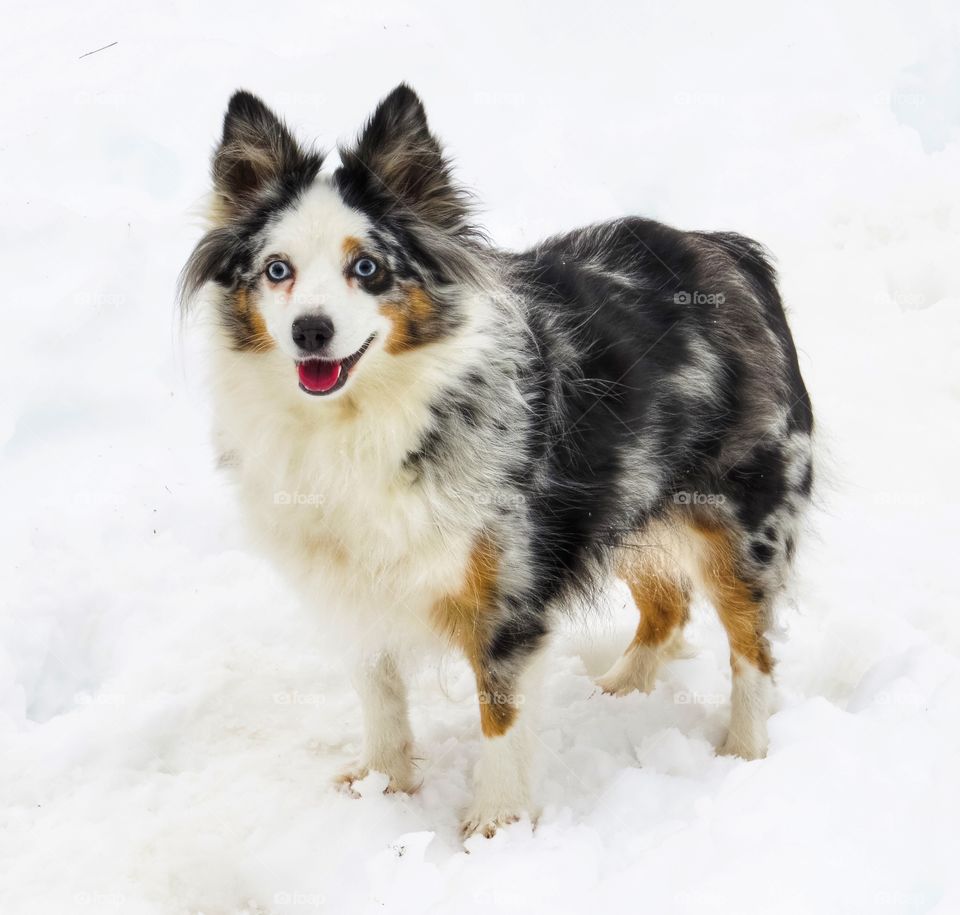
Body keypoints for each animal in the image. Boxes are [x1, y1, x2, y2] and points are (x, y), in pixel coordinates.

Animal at [178, 84, 808, 836]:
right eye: (278, 271)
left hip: (743, 520)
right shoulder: (353, 581)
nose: (311, 331)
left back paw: (744, 751)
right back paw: (621, 689)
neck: (364, 418)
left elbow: (501, 718)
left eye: (368, 268)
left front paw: (495, 826)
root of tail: (729, 252)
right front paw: (382, 784)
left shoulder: (510, 588)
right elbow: (378, 692)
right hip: (623, 496)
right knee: (668, 602)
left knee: (753, 645)